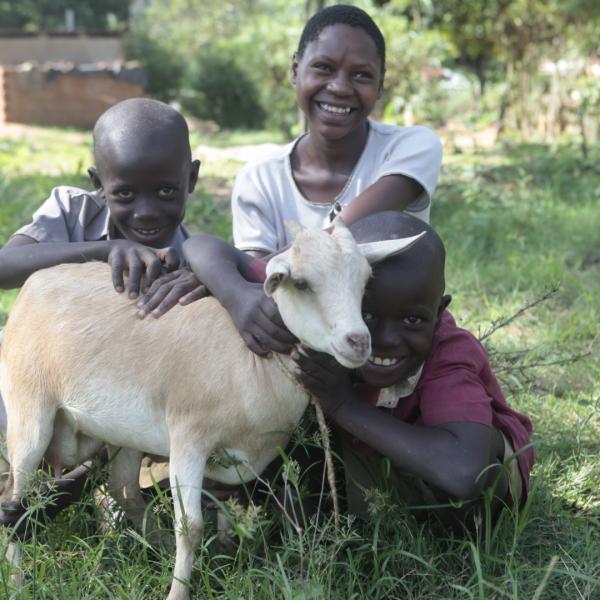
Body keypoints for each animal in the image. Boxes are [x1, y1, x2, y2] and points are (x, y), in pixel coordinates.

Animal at [0, 221, 424, 600]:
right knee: (13, 501)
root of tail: (32, 286)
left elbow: (229, 510)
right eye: (301, 283)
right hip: (28, 410)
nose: (358, 342)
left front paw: (225, 562)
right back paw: (19, 583)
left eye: (364, 280)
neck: (252, 362)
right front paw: (179, 592)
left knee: (125, 492)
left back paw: (155, 549)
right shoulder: (188, 439)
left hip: (124, 434)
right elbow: (191, 528)